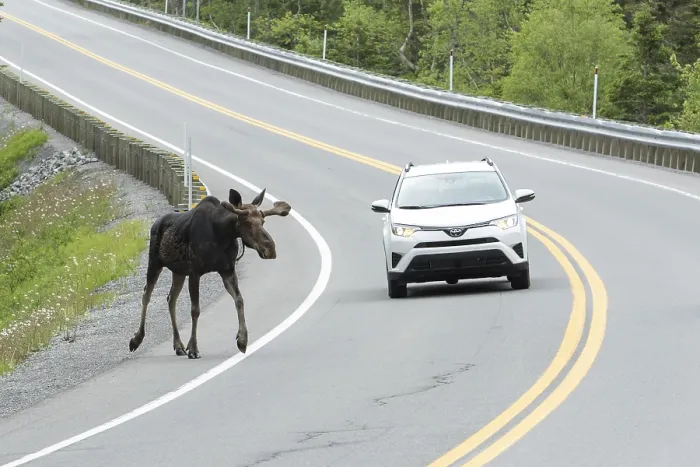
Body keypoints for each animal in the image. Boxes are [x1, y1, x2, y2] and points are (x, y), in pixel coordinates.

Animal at [128, 187, 291, 359]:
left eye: (263, 221)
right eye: (247, 222)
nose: (270, 249)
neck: (223, 235)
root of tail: (155, 223)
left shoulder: (227, 270)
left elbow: (239, 300)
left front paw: (242, 340)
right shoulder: (195, 271)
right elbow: (195, 310)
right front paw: (193, 348)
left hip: (178, 271)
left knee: (171, 298)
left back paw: (178, 345)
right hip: (155, 262)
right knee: (146, 295)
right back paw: (136, 339)